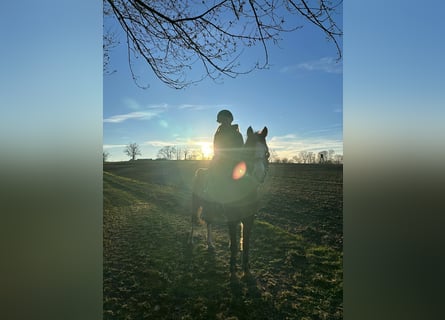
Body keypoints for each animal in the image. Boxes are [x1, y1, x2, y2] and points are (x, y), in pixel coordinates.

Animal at [187, 125, 268, 276]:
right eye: (248, 152)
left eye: (266, 153)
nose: (259, 174)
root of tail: (199, 172)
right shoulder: (232, 217)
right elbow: (235, 244)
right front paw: (232, 266)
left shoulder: (249, 218)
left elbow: (246, 243)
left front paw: (246, 267)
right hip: (196, 203)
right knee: (193, 220)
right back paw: (190, 240)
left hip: (210, 206)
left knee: (209, 222)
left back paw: (210, 244)